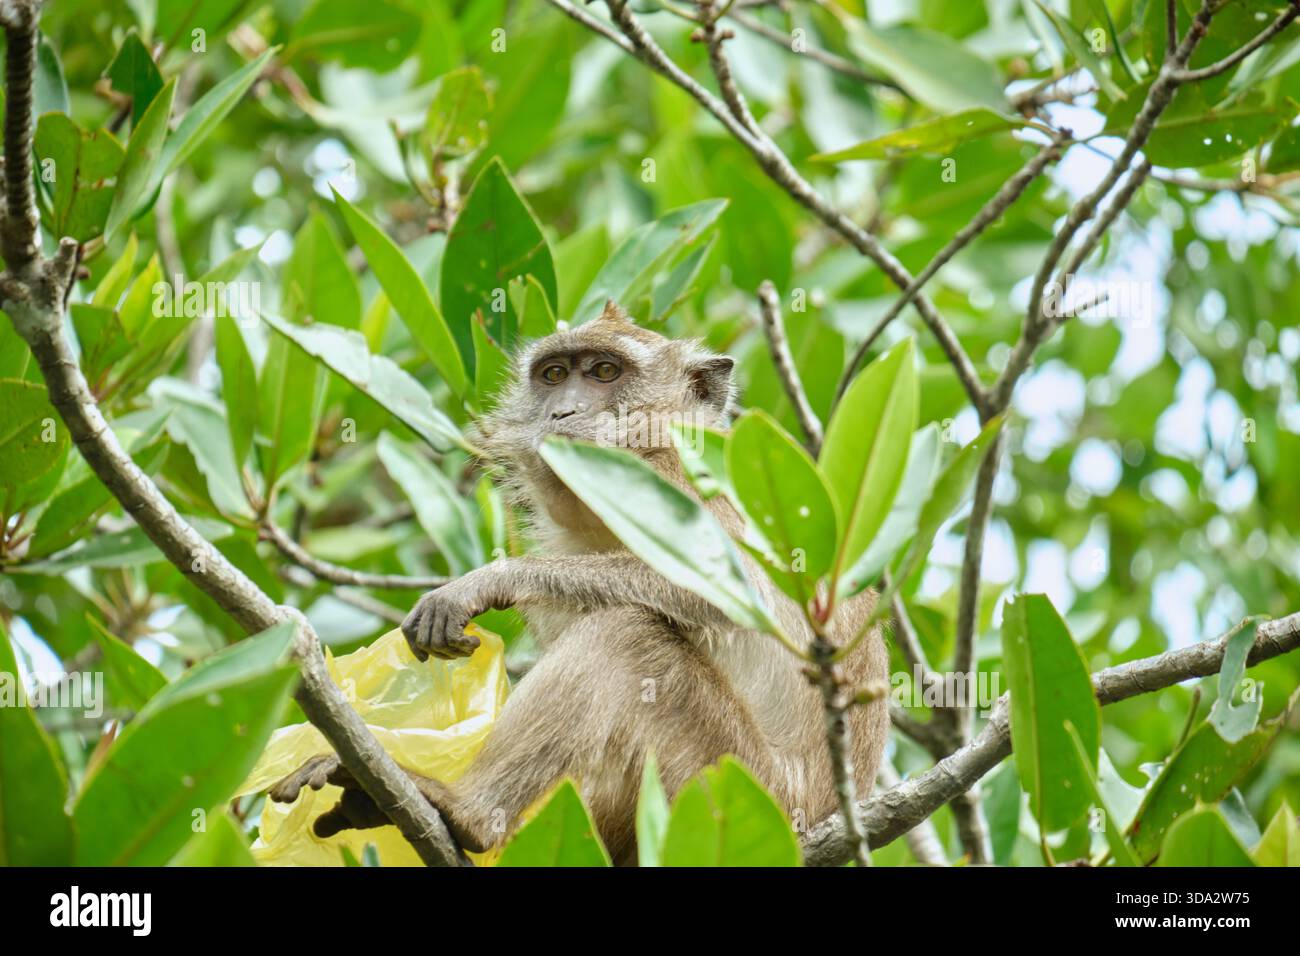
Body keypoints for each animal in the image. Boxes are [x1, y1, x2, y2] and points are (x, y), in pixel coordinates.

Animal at [270, 300, 889, 865]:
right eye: (553, 375)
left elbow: (730, 593)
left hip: (729, 783)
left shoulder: (683, 478)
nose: (562, 412)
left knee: (626, 634)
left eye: (604, 372)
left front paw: (486, 581)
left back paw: (470, 814)